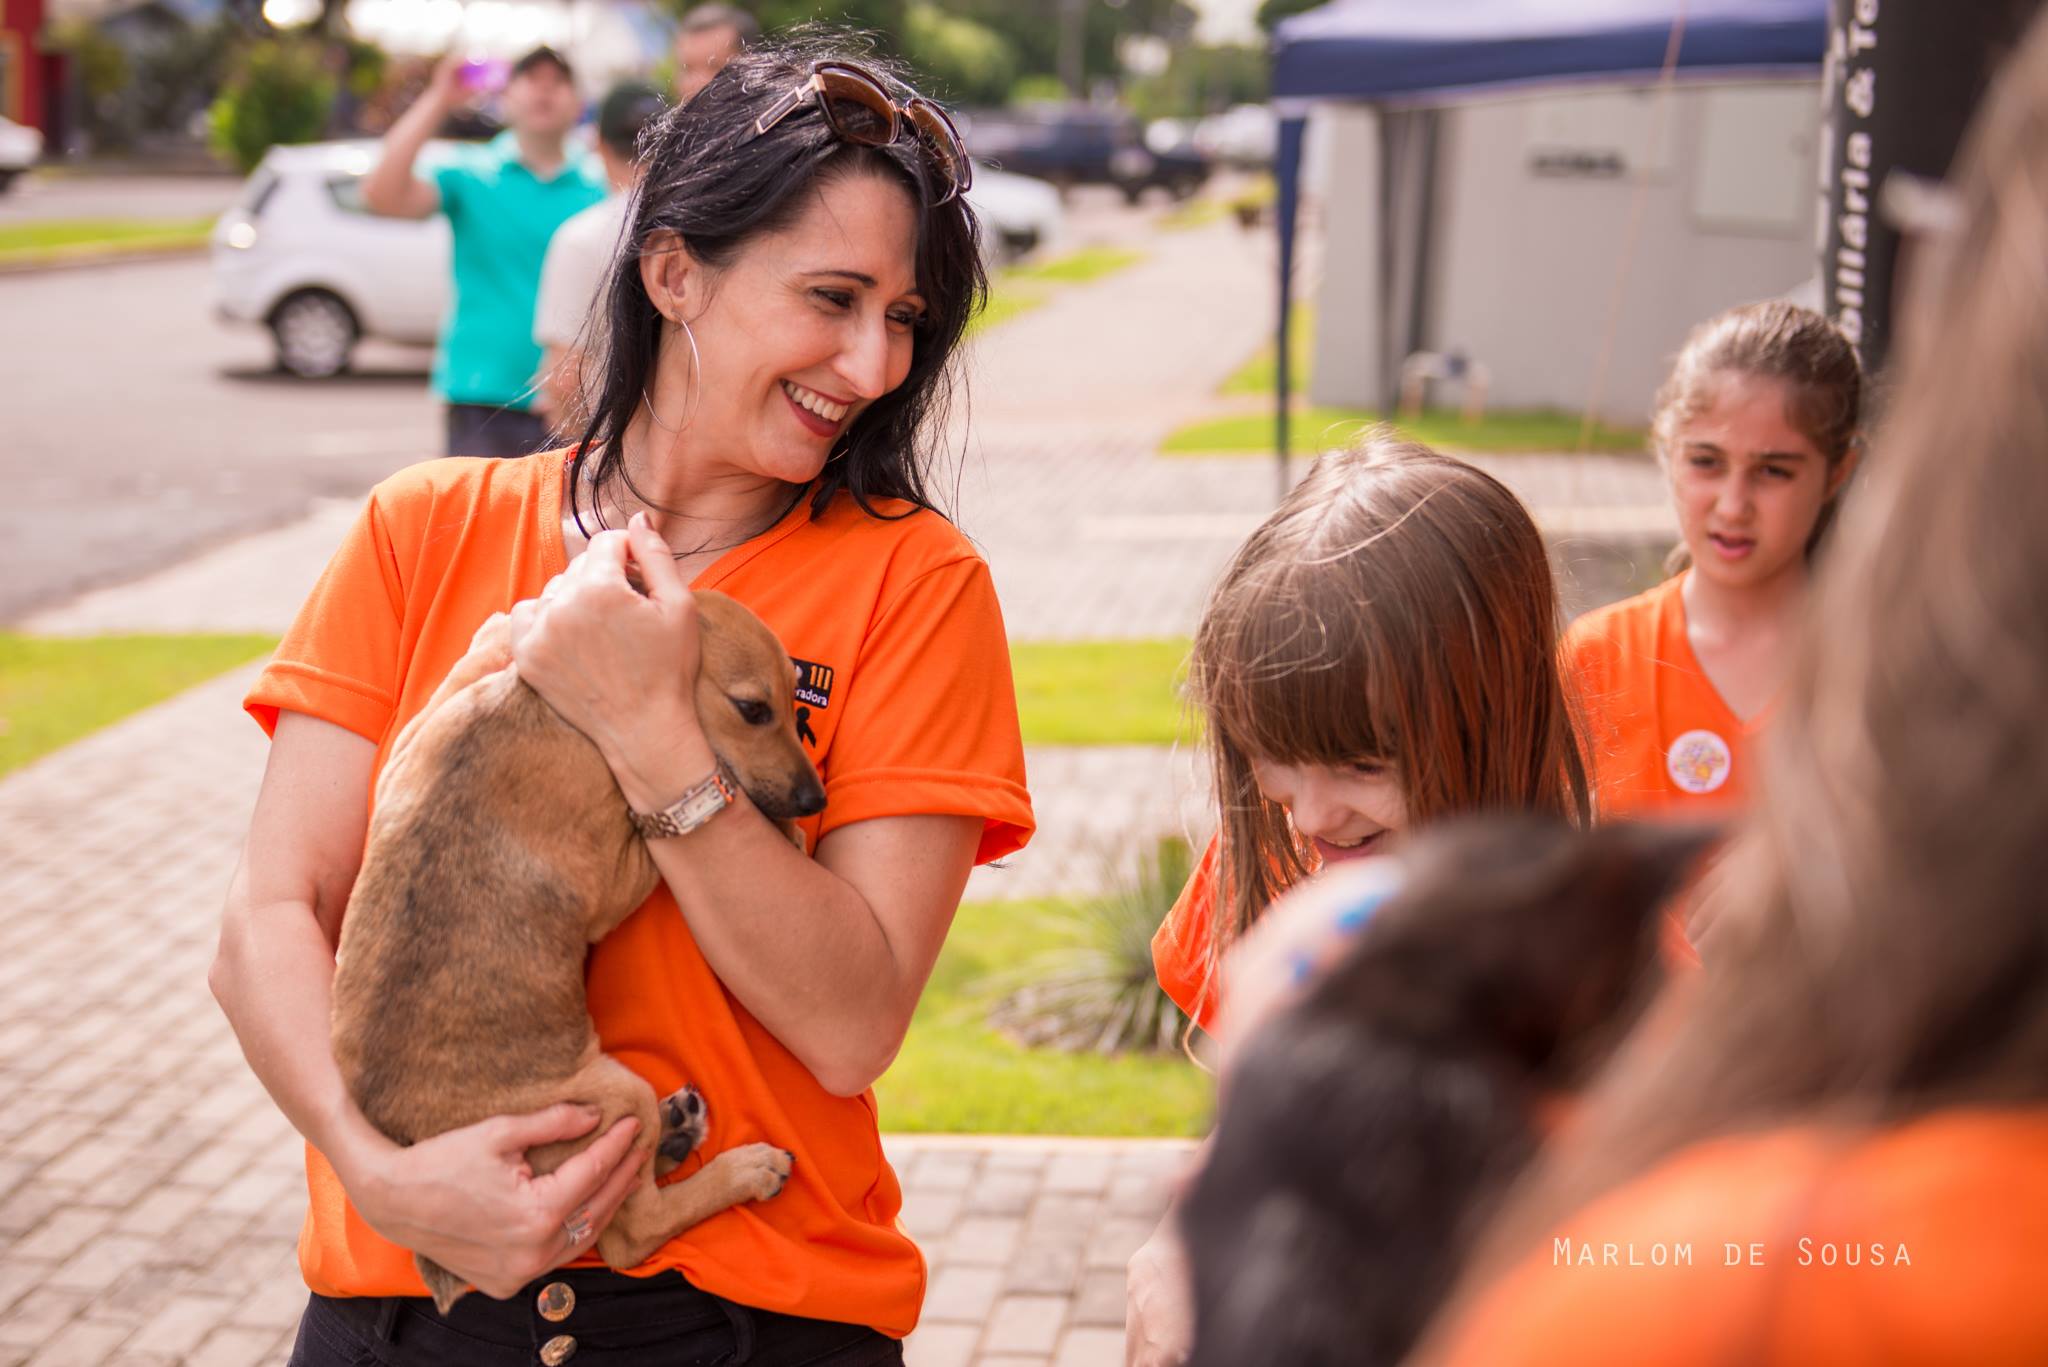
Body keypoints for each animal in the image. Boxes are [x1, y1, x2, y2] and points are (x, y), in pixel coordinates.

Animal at [327, 590, 823, 1311]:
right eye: (753, 709)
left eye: (797, 700)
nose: (816, 800)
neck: (544, 707)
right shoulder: (616, 879)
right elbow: (673, 817)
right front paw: (782, 830)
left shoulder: (413, 745)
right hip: (617, 1092)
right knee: (632, 1233)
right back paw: (742, 1167)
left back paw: (677, 1129)